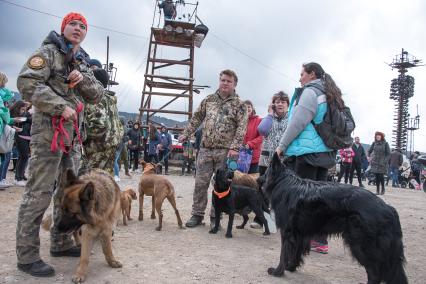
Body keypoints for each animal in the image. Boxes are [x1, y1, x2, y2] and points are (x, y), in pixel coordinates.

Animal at [260, 155, 410, 284]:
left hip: (361, 245)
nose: (258, 179)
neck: (283, 182)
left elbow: (283, 254)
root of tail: (388, 208)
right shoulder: (300, 234)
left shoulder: (287, 232)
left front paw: (278, 271)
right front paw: (291, 267)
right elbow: (295, 253)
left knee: (375, 273)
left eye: (266, 172)